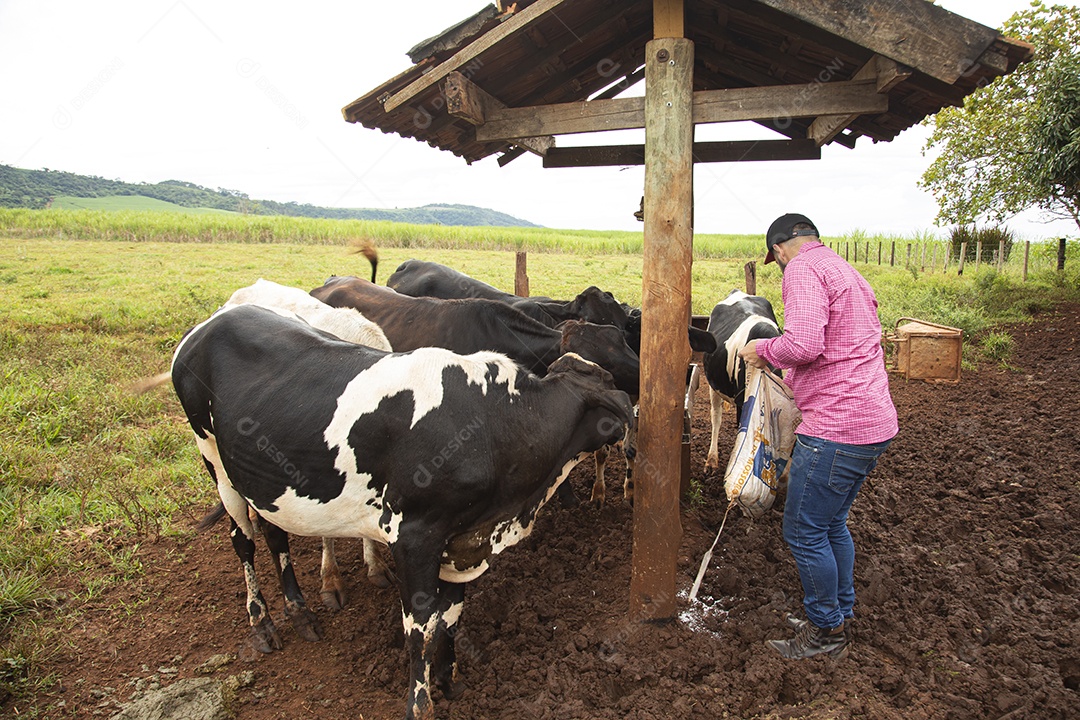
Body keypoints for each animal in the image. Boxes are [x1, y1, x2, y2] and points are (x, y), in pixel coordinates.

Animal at [168, 304, 630, 720]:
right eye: (612, 369)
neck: (494, 424)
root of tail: (208, 325)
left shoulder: (461, 541)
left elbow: (451, 617)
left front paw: (449, 681)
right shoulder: (413, 536)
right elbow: (419, 628)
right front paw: (420, 705)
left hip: (263, 480)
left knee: (274, 534)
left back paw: (299, 611)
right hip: (215, 461)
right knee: (242, 540)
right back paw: (261, 622)